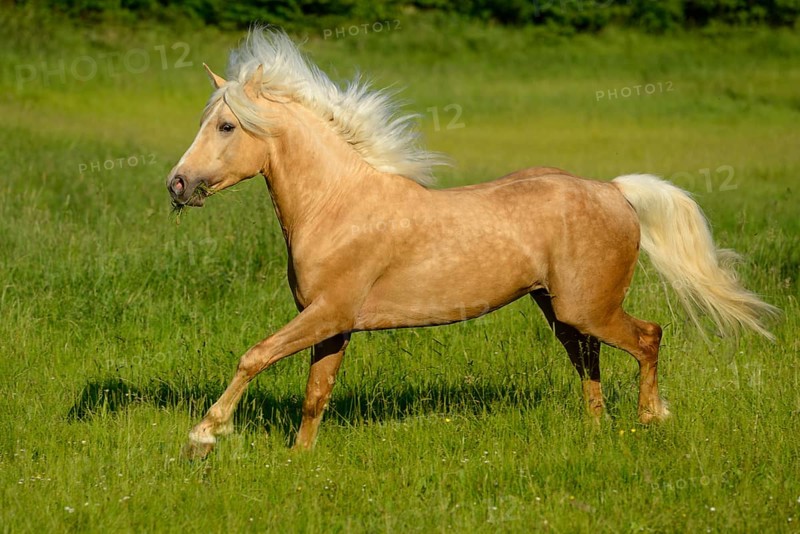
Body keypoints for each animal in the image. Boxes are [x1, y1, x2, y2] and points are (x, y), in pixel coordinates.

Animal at [166, 28, 778, 459]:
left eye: (226, 126)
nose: (177, 184)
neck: (338, 206)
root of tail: (614, 191)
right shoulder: (332, 322)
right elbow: (317, 392)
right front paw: (299, 457)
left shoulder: (327, 313)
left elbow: (255, 355)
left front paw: (204, 435)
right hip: (560, 310)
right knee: (589, 359)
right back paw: (595, 431)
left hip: (590, 307)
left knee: (648, 337)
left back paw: (651, 418)